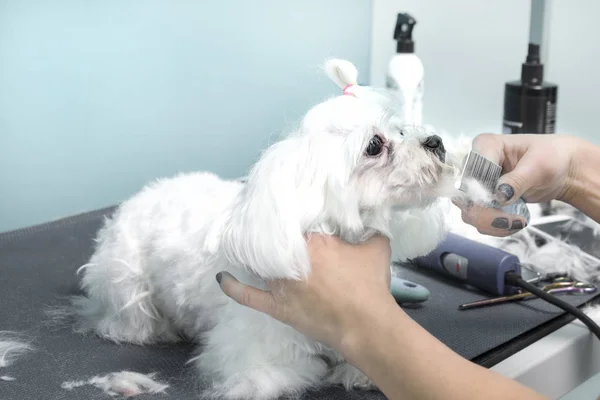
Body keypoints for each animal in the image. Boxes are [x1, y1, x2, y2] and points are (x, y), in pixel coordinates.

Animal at [71, 57, 464, 398]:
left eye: (402, 130)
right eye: (374, 145)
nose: (436, 142)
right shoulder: (249, 353)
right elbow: (285, 370)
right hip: (124, 279)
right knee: (124, 320)